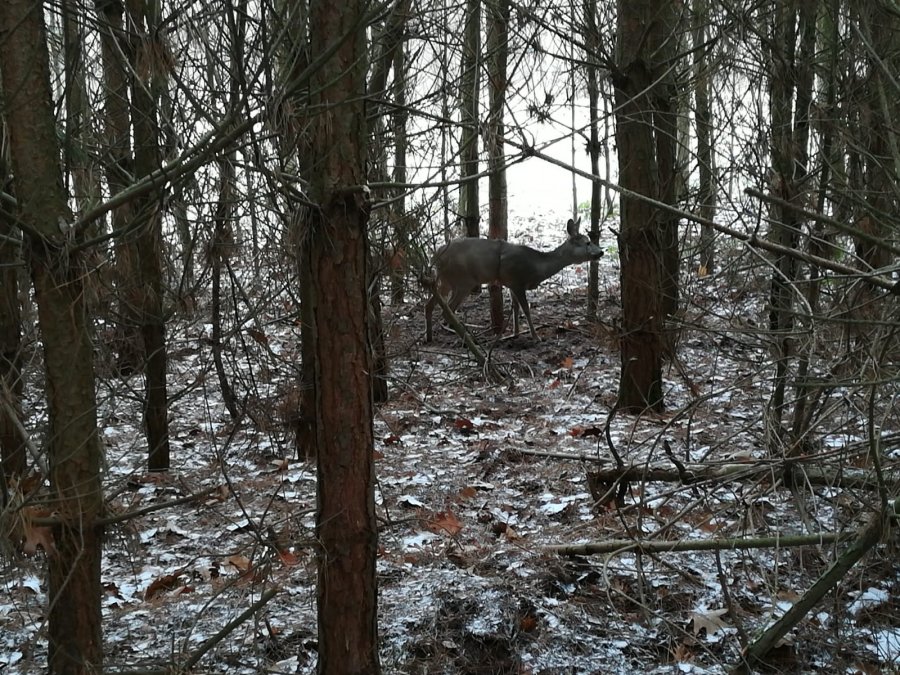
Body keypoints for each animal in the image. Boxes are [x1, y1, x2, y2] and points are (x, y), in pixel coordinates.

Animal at [424, 218, 604, 344]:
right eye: (588, 242)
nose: (601, 252)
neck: (537, 267)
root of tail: (435, 257)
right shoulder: (517, 281)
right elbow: (526, 309)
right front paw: (535, 337)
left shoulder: (510, 283)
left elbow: (515, 307)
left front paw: (515, 333)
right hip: (463, 280)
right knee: (447, 310)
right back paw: (467, 338)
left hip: (445, 281)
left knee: (430, 305)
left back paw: (430, 337)